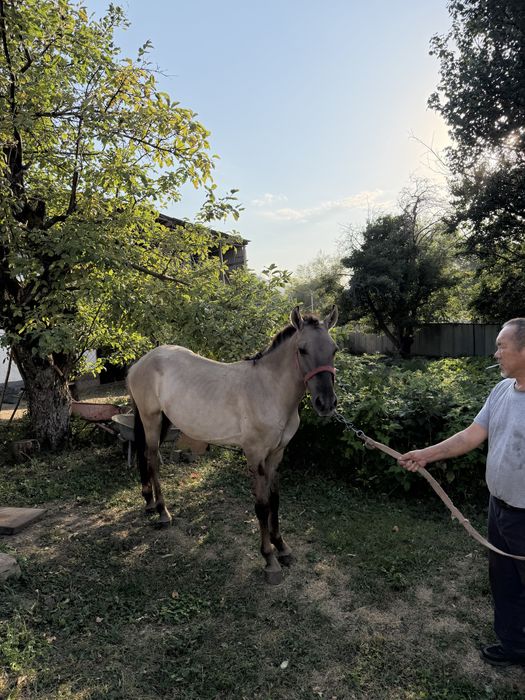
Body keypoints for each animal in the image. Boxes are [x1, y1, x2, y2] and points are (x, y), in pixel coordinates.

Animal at [127, 305, 339, 584]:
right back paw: (163, 512)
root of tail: (139, 363)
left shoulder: (276, 455)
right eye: (302, 349)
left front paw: (282, 547)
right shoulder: (255, 456)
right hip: (151, 419)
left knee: (144, 456)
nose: (326, 403)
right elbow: (262, 505)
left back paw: (149, 502)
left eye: (334, 349)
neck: (268, 390)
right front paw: (269, 559)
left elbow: (275, 500)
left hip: (161, 420)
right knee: (152, 460)